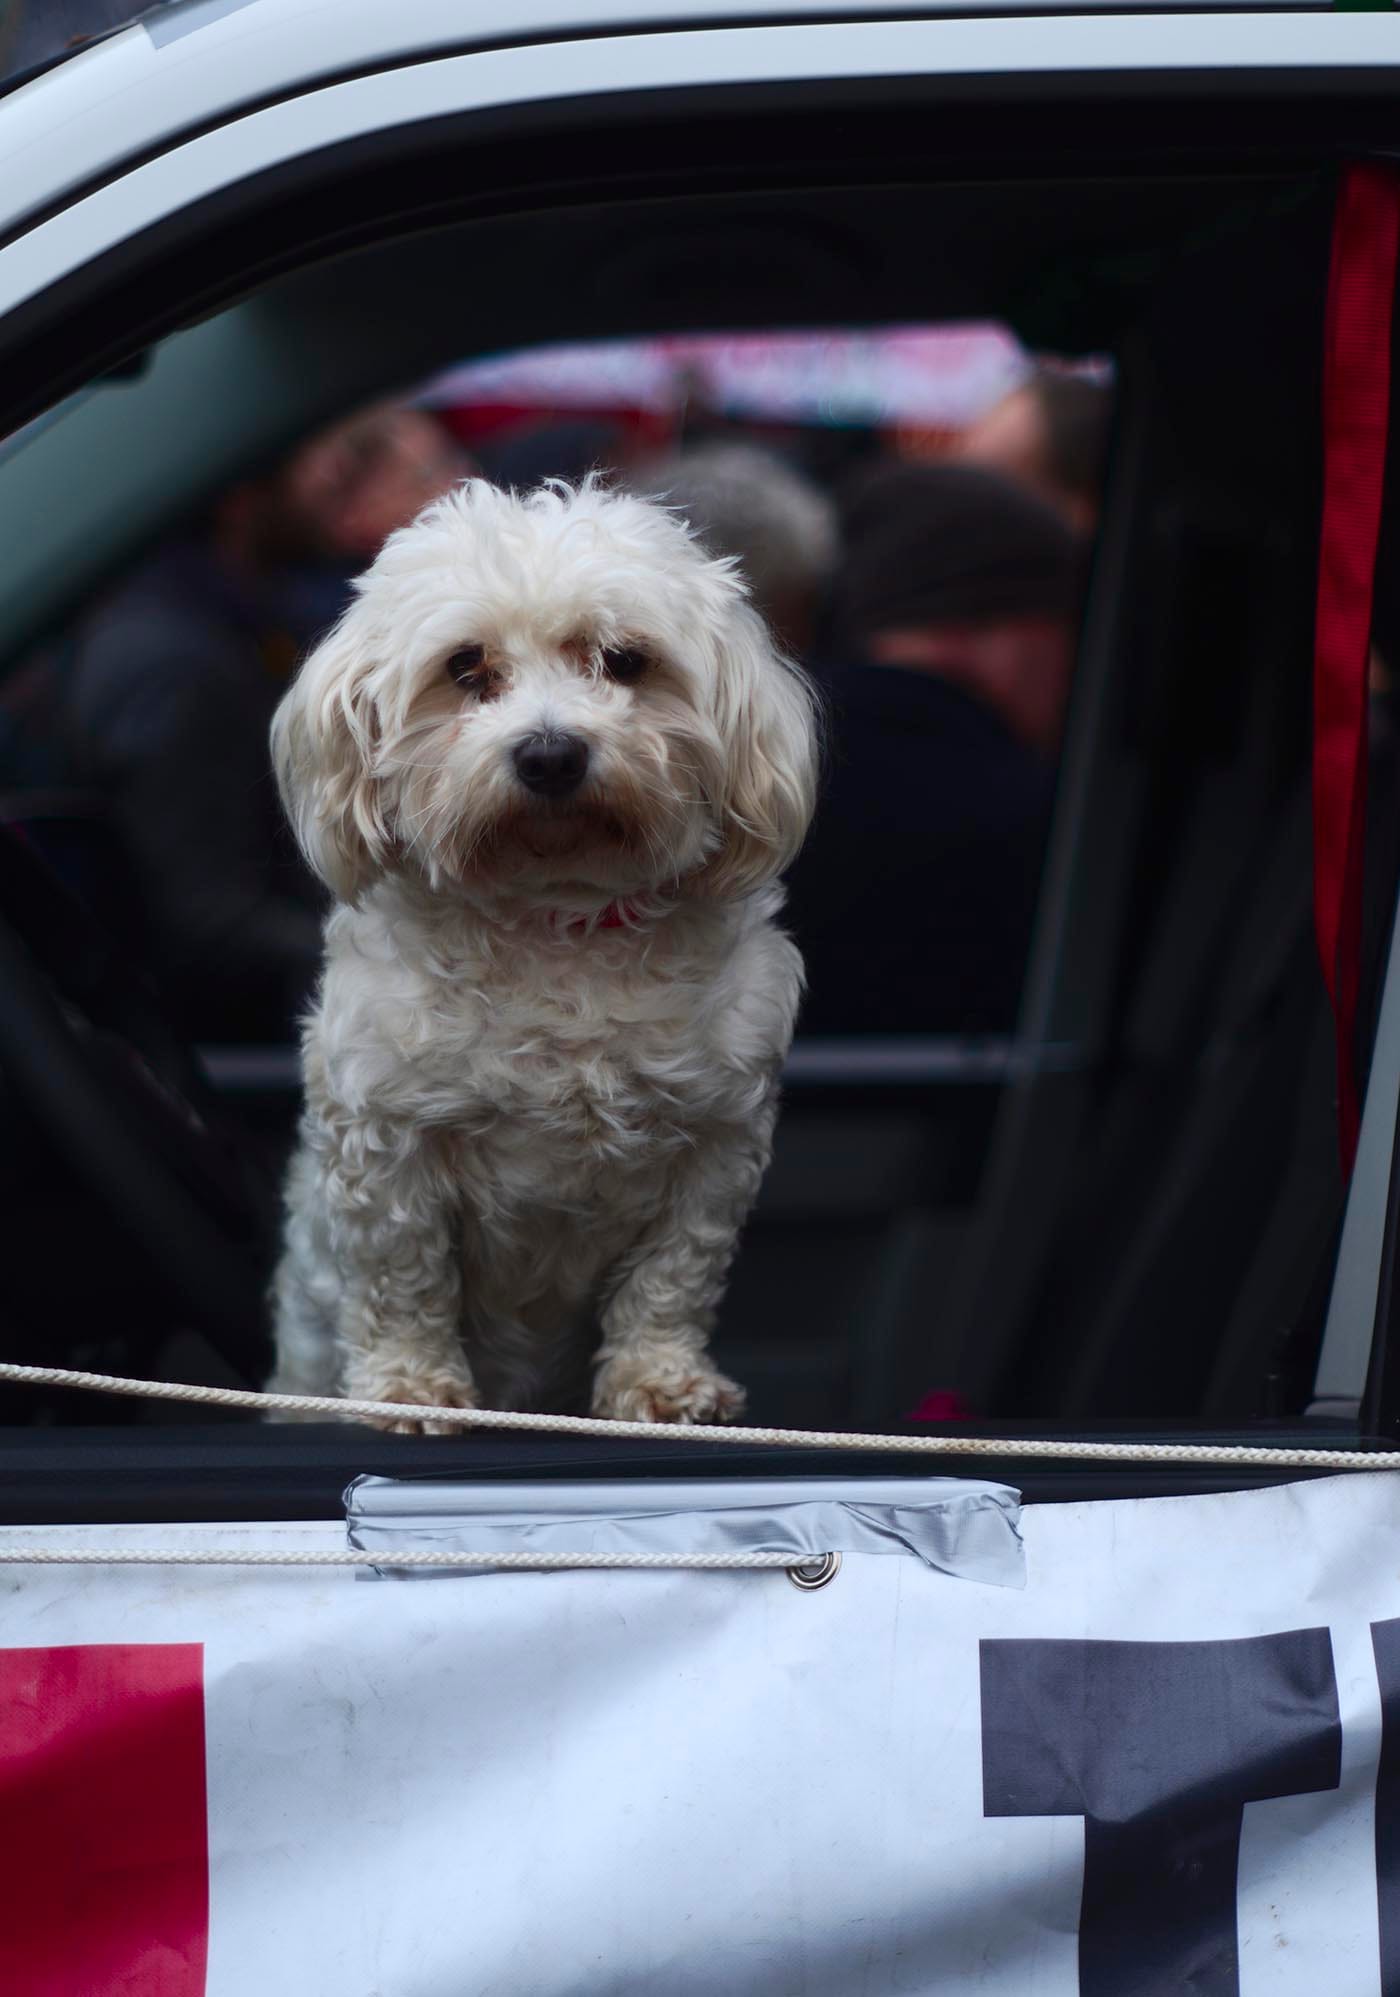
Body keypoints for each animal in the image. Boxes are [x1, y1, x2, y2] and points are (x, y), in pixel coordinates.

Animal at [267, 479, 819, 1432]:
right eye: (464, 667)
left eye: (624, 660)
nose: (551, 752)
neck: (556, 915)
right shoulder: (386, 1144)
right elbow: (402, 1281)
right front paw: (411, 1387)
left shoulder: (717, 1146)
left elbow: (674, 1276)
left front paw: (660, 1383)